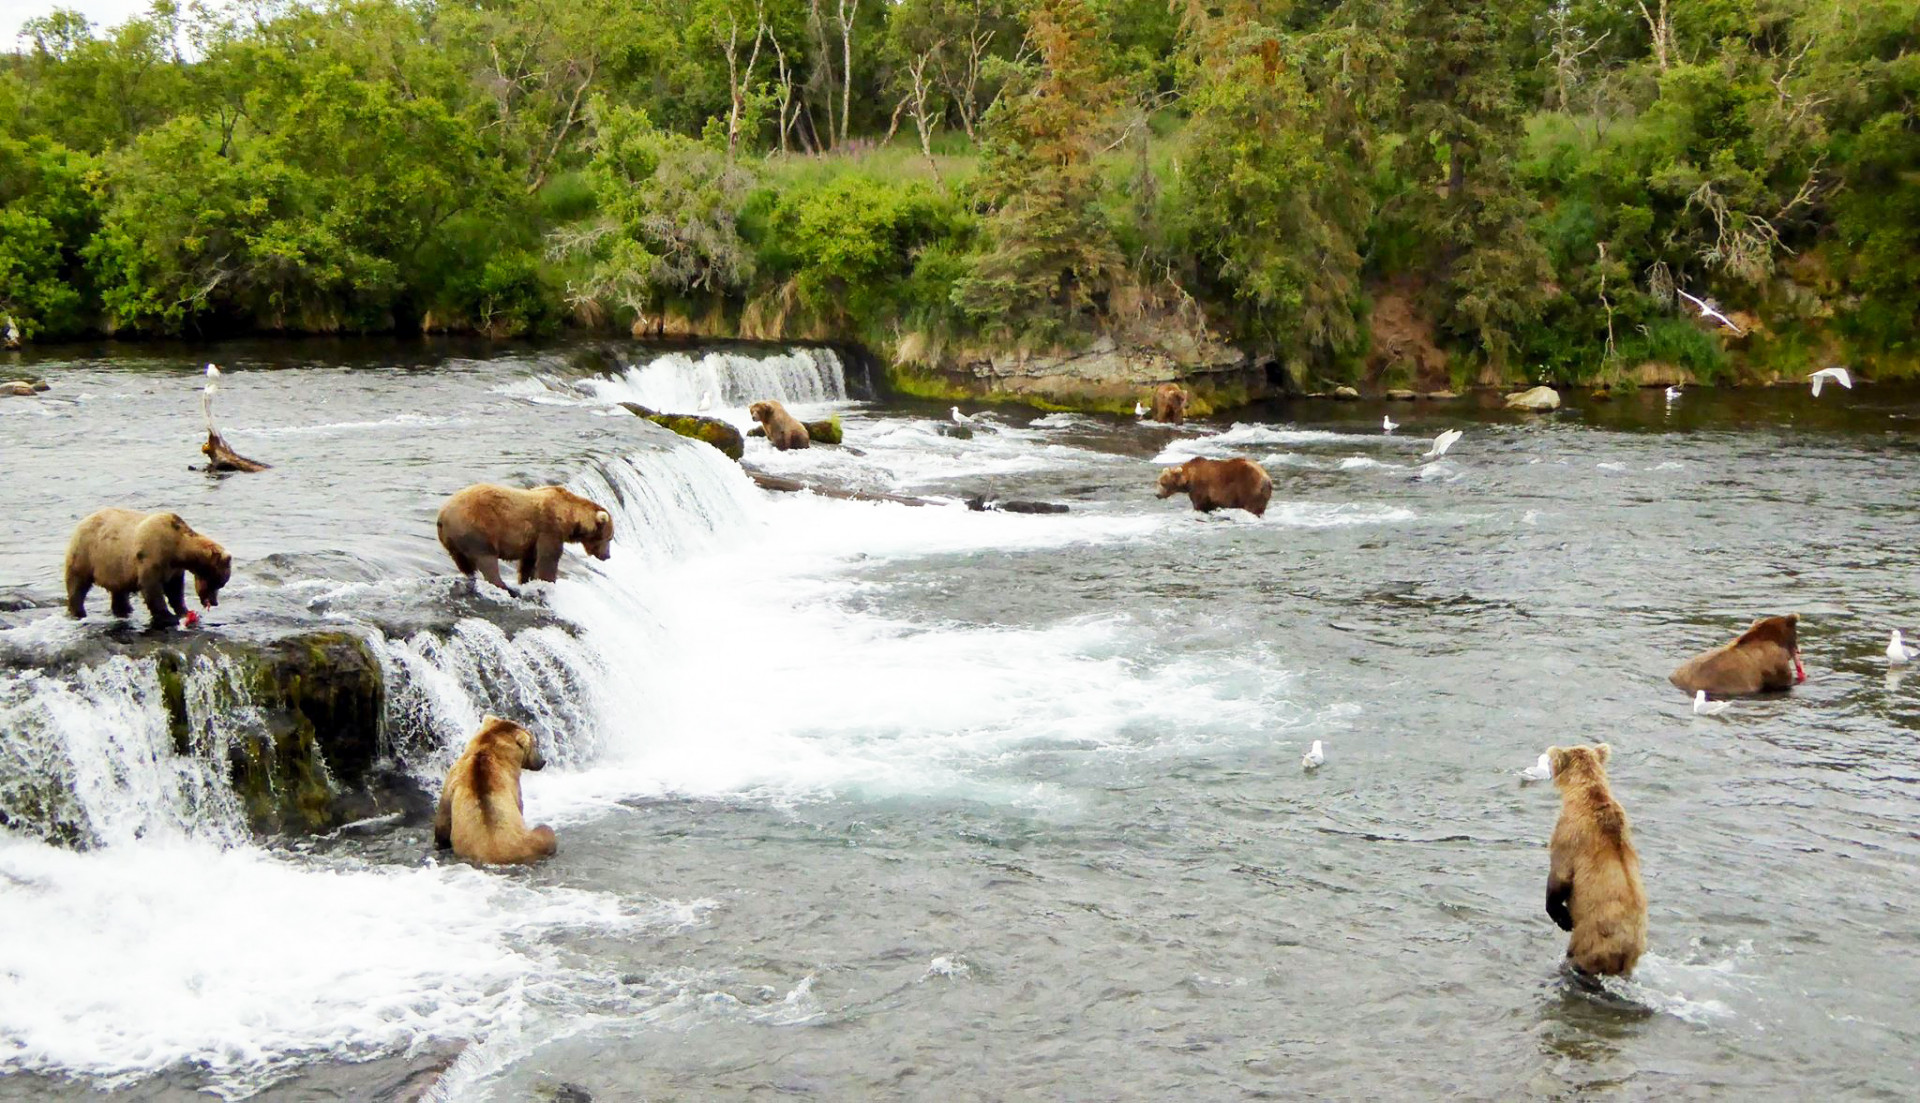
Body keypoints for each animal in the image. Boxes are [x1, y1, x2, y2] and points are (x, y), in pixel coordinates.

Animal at [62, 511, 233, 630]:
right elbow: (152, 589)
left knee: (119, 591)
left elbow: (175, 590)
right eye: (218, 582)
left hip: (115, 566)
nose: (214, 602)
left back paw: (125, 610)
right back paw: (78, 612)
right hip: (87, 554)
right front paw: (168, 617)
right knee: (78, 585)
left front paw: (184, 611)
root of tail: (82, 522)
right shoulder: (151, 556)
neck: (177, 549)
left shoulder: (174, 569)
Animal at [433, 722, 556, 868]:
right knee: (546, 830)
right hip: (532, 840)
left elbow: (443, 815)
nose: (543, 761)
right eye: (535, 744)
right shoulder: (511, 782)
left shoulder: (453, 777)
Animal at [439, 484, 610, 595]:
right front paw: (548, 581)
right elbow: (549, 557)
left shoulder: (532, 539)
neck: (569, 517)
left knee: (463, 562)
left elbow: (529, 561)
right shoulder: (549, 529)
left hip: (453, 541)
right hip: (478, 528)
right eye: (608, 538)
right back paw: (505, 587)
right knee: (486, 559)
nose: (607, 556)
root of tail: (442, 514)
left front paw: (526, 580)